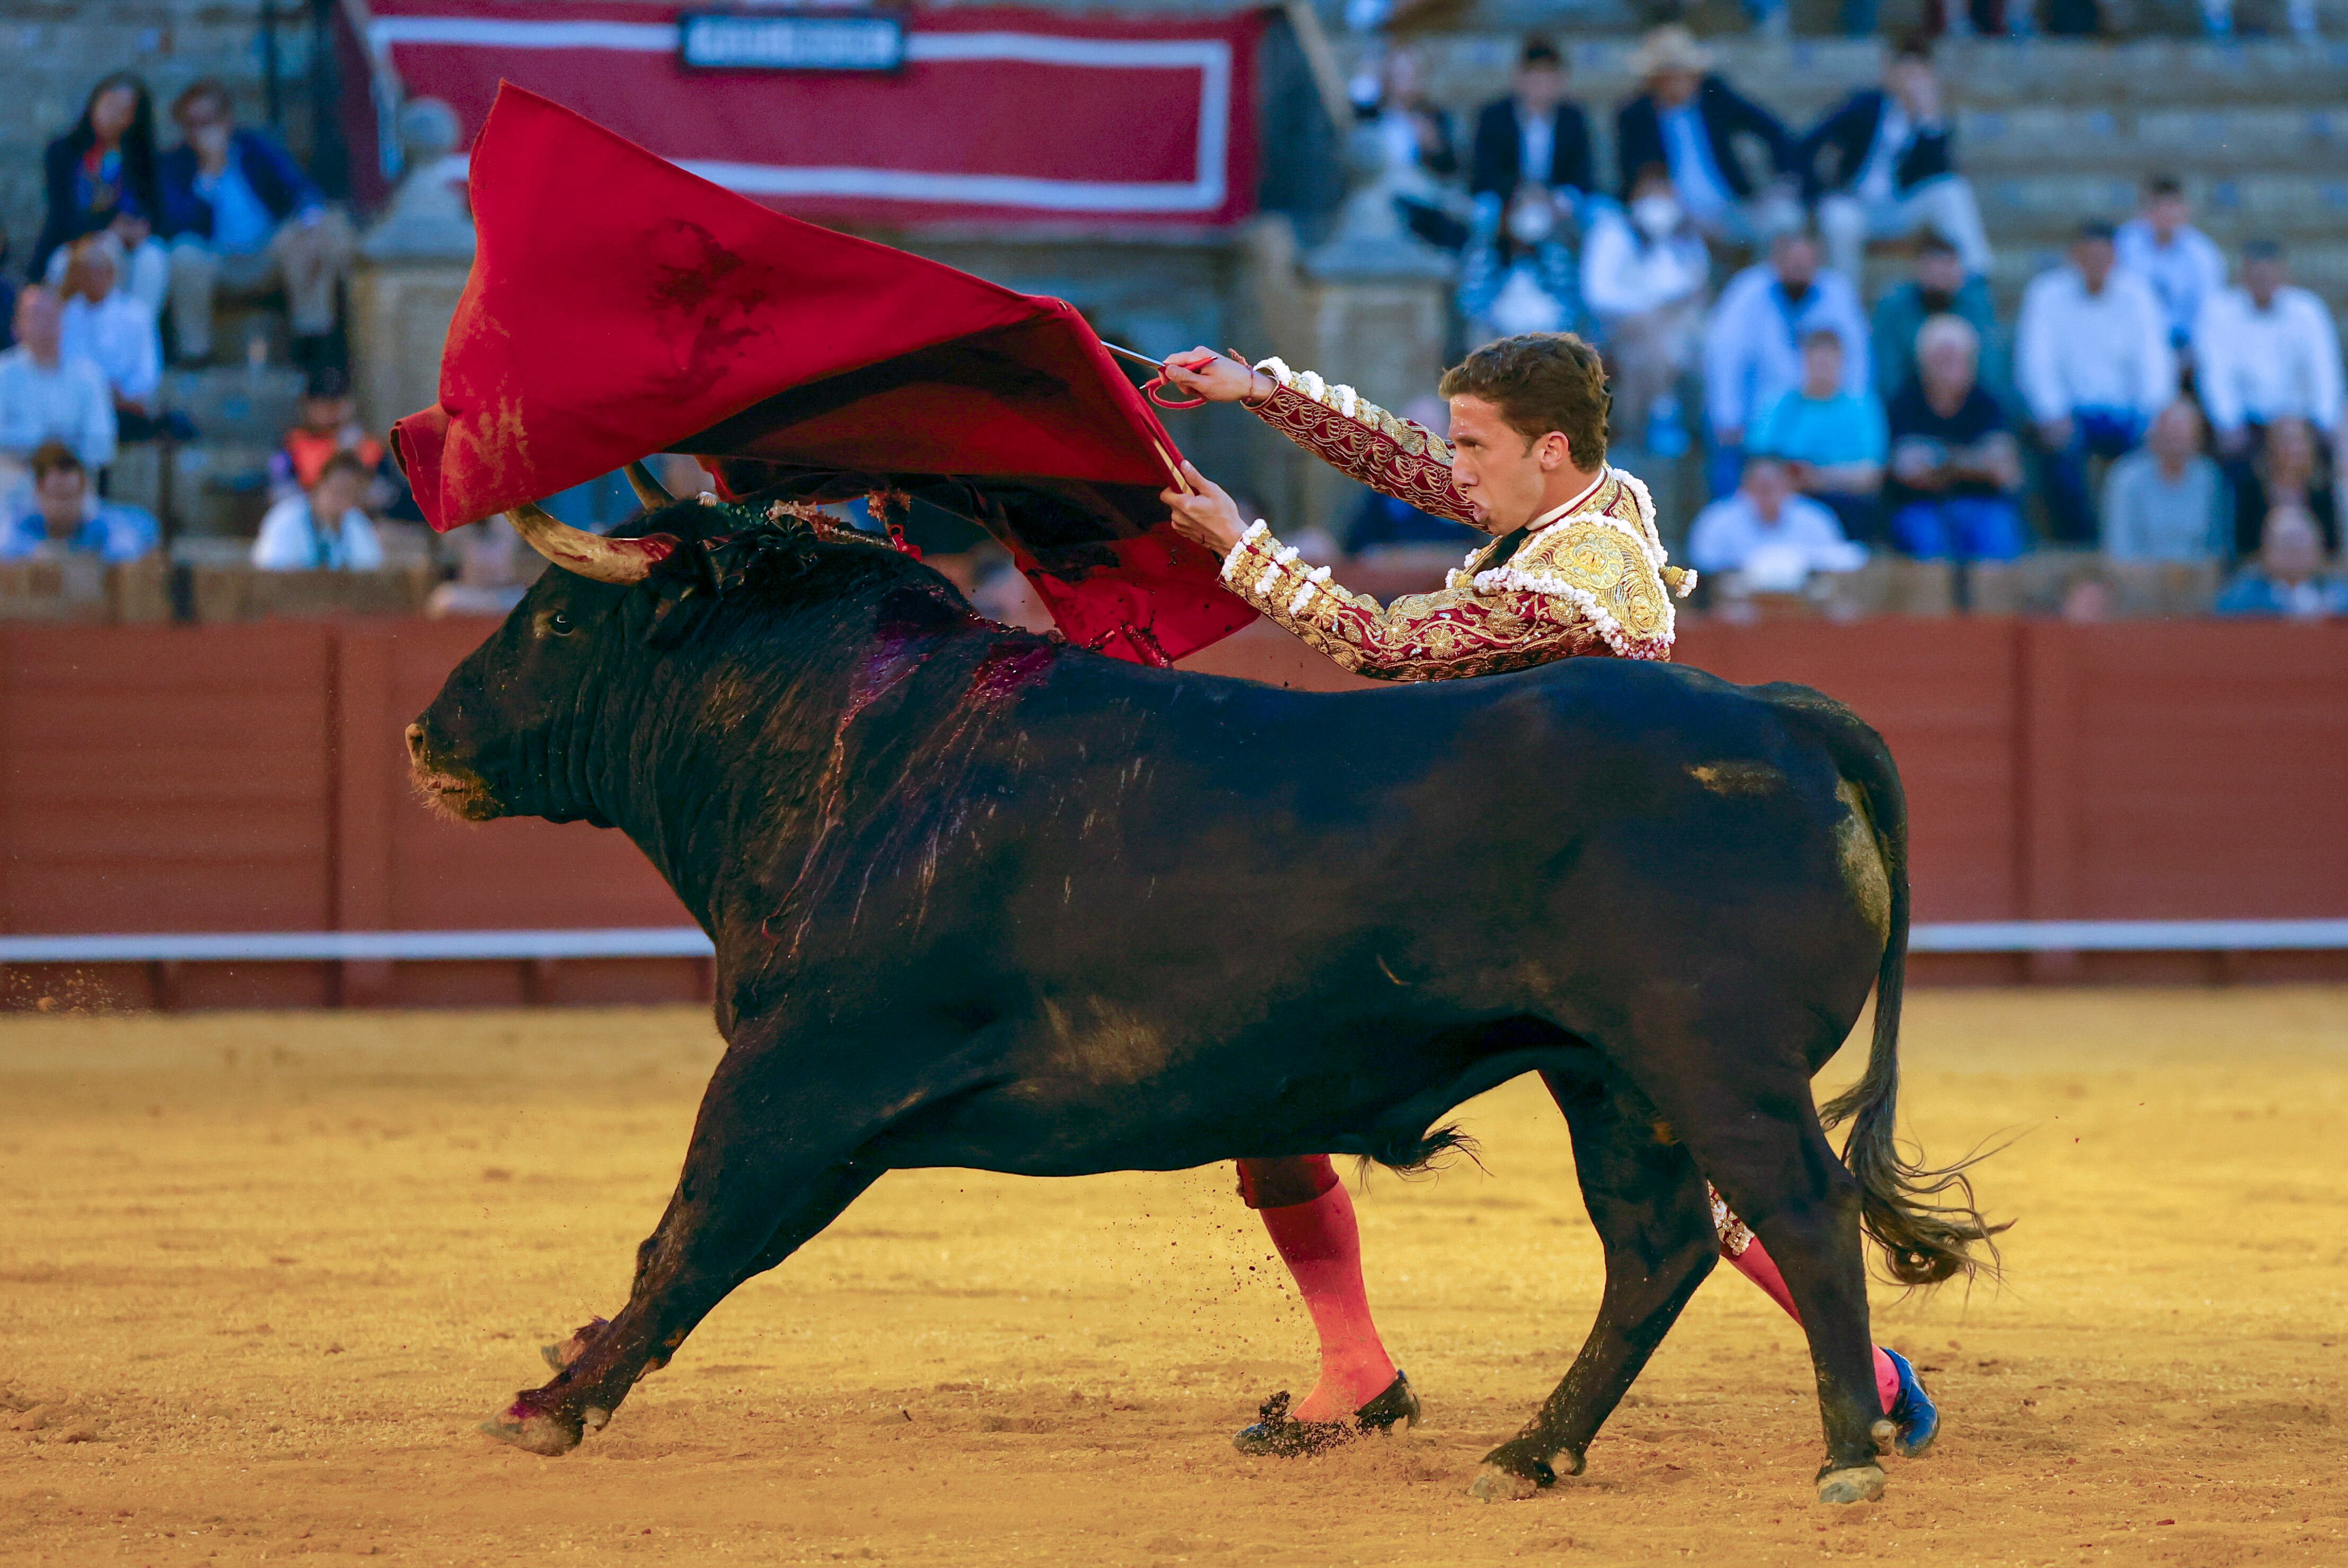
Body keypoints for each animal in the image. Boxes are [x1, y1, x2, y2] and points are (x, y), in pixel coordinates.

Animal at [413, 491, 1991, 1502]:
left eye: (552, 620)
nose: (428, 735)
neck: (862, 742)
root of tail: (1776, 715)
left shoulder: (797, 1070)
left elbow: (690, 1233)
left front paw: (553, 1403)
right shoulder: (821, 1096)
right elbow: (693, 1242)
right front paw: (558, 1378)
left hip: (1711, 1059)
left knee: (1794, 1210)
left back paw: (1848, 1453)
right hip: (1606, 1074)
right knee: (1659, 1245)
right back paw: (1532, 1452)